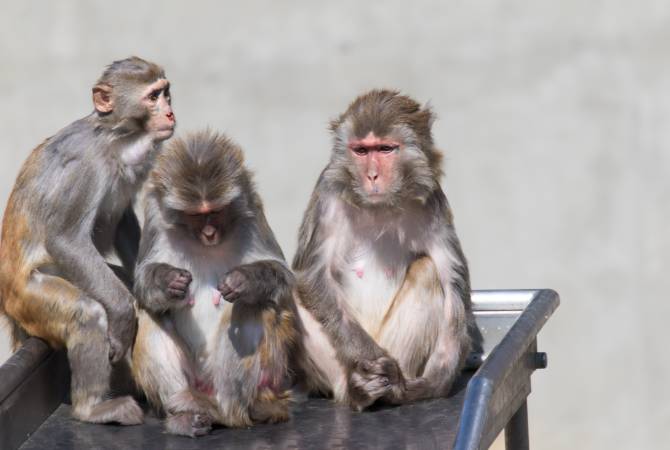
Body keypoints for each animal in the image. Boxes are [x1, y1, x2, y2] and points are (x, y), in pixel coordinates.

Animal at [0, 56, 176, 425]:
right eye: (153, 97)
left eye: (166, 92)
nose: (169, 113)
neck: (116, 139)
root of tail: (7, 303)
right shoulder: (86, 168)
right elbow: (65, 239)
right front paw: (123, 316)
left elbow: (122, 220)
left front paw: (154, 277)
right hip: (28, 298)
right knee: (87, 312)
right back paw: (92, 408)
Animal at [131, 130, 299, 437]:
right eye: (196, 215)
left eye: (217, 211)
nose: (209, 233)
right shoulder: (155, 218)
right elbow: (143, 281)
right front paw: (167, 281)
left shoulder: (252, 210)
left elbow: (281, 275)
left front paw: (244, 280)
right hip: (196, 380)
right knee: (150, 315)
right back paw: (185, 413)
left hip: (263, 383)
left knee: (252, 309)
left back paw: (232, 410)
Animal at [292, 89, 473, 411]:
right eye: (362, 151)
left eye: (386, 149)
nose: (372, 175)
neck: (381, 207)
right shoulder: (326, 194)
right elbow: (312, 276)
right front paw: (373, 361)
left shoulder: (434, 202)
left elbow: (452, 282)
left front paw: (436, 381)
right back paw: (361, 390)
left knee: (427, 271)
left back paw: (395, 389)